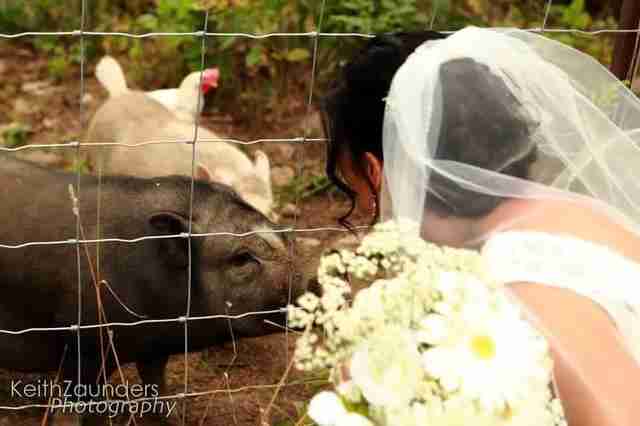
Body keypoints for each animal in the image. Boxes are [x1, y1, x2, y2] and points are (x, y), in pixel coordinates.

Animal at [0, 156, 305, 423]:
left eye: (284, 236)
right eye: (242, 258)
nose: (310, 282)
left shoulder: (155, 344)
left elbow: (155, 382)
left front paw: (174, 418)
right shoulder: (81, 343)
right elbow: (72, 405)